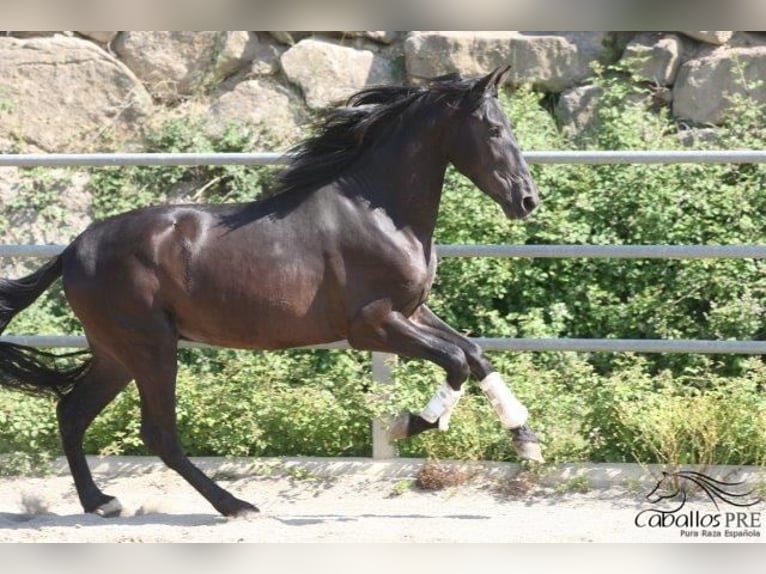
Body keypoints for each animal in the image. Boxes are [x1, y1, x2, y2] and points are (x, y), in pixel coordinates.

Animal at [0, 65, 544, 520]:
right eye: (494, 130)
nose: (527, 200)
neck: (381, 213)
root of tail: (73, 249)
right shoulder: (372, 325)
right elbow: (455, 361)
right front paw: (408, 424)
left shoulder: (412, 311)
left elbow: (474, 353)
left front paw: (526, 439)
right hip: (151, 347)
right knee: (158, 434)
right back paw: (235, 505)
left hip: (116, 353)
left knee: (71, 413)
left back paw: (101, 502)